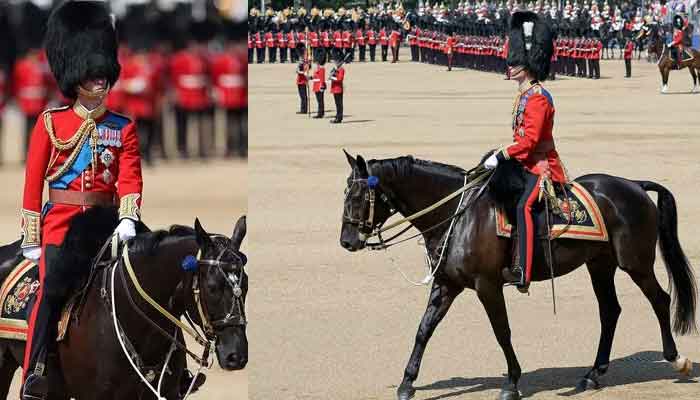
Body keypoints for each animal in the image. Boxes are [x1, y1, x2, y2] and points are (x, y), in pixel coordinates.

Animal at [340, 152, 696, 400]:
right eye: (345, 194)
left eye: (356, 197)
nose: (347, 241)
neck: (457, 213)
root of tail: (634, 184)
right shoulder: (447, 284)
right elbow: (423, 330)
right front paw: (407, 382)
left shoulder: (487, 285)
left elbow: (502, 332)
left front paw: (512, 382)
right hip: (600, 264)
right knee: (610, 311)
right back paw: (593, 374)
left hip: (635, 263)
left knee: (660, 300)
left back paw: (676, 359)